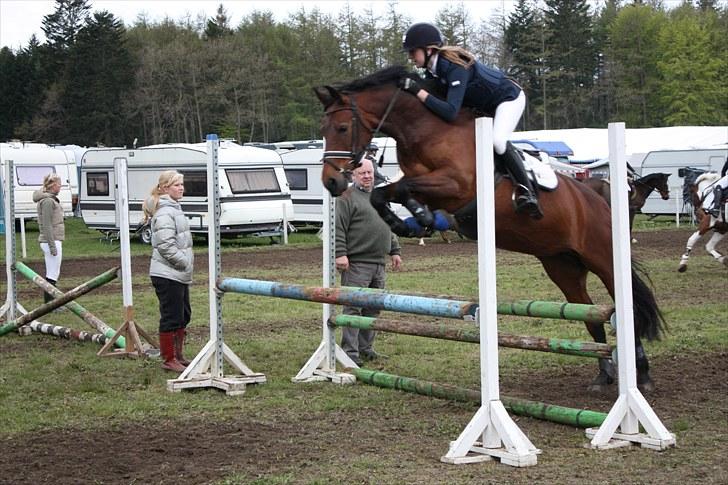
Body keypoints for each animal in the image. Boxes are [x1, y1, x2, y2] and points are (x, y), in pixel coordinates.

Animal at [312, 65, 664, 390]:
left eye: (342, 127)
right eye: (323, 129)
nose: (331, 182)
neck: (427, 130)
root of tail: (600, 202)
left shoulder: (456, 185)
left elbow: (401, 190)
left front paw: (417, 219)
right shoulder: (426, 188)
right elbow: (385, 194)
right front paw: (412, 222)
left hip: (603, 258)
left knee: (627, 307)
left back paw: (643, 375)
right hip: (562, 265)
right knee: (591, 315)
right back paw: (604, 375)